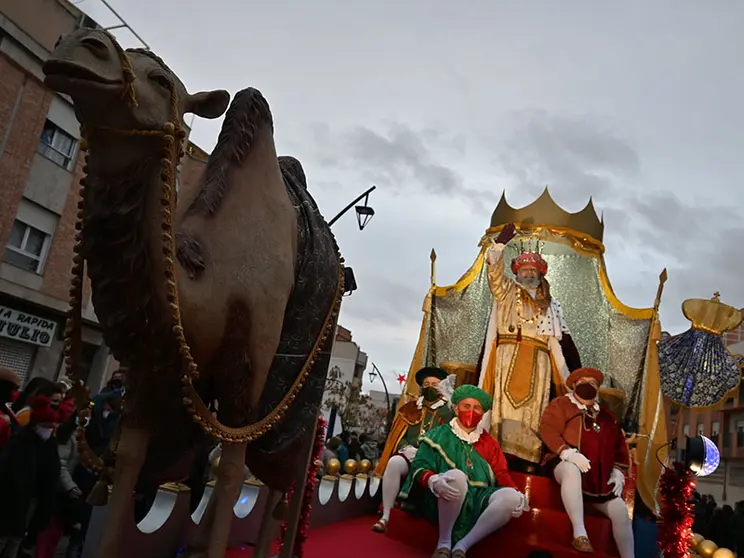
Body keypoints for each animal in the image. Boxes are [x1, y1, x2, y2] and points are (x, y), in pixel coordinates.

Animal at [41, 29, 342, 558]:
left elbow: (232, 471)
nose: (81, 41)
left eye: (162, 80)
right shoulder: (150, 368)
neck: (203, 279)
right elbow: (129, 463)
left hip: (310, 373)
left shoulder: (250, 371)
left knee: (290, 469)